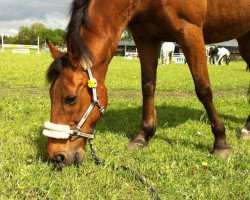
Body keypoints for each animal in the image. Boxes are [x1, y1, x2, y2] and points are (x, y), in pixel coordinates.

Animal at [43, 0, 250, 167]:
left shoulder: (190, 31)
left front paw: (220, 142)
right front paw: (143, 135)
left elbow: (203, 89)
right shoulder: (145, 38)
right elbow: (148, 86)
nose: (57, 156)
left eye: (70, 98)